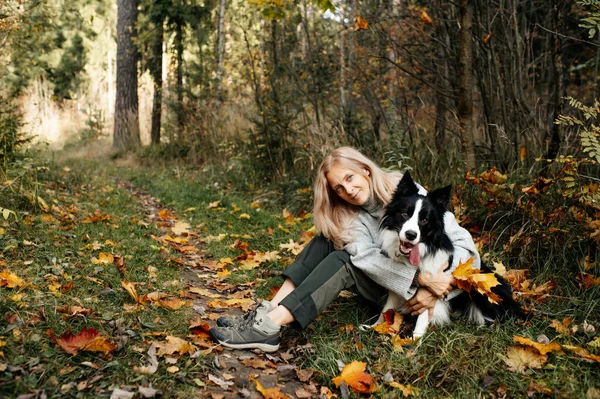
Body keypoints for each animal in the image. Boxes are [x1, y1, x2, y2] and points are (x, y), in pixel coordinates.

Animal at [376, 173, 520, 340]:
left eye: (425, 220)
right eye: (405, 214)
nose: (411, 235)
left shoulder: (430, 291)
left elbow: (422, 317)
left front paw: (414, 342)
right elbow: (387, 307)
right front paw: (375, 326)